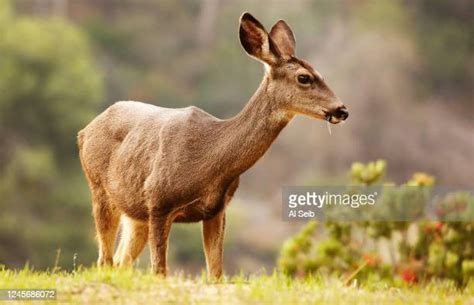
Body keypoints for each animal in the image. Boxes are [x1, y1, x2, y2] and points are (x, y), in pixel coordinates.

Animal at [78, 11, 348, 278]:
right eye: (304, 77)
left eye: (322, 74)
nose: (342, 110)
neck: (211, 161)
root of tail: (84, 131)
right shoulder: (158, 200)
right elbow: (160, 271)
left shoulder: (217, 210)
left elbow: (216, 273)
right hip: (100, 189)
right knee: (105, 259)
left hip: (134, 212)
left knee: (121, 261)